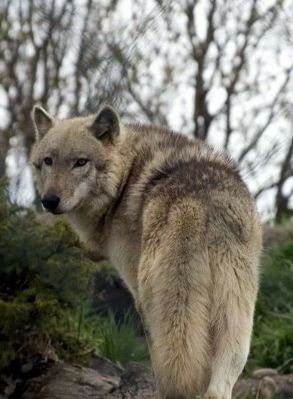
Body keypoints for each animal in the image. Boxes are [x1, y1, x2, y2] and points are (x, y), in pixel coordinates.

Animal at [30, 104, 262, 398]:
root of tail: (194, 206)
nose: (49, 201)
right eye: (48, 161)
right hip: (237, 319)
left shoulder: (137, 293)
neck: (124, 179)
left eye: (81, 162)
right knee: (218, 387)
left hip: (156, 305)